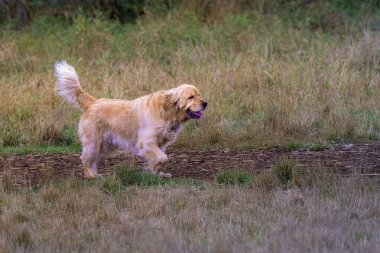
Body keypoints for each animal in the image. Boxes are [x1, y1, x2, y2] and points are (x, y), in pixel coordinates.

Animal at [53, 60, 208, 178]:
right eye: (191, 97)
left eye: (199, 95)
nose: (205, 103)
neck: (167, 112)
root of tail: (93, 101)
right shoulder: (146, 142)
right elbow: (163, 158)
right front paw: (156, 170)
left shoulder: (160, 144)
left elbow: (159, 159)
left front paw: (156, 173)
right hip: (93, 142)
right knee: (85, 159)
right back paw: (91, 175)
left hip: (104, 145)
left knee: (92, 160)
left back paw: (95, 174)